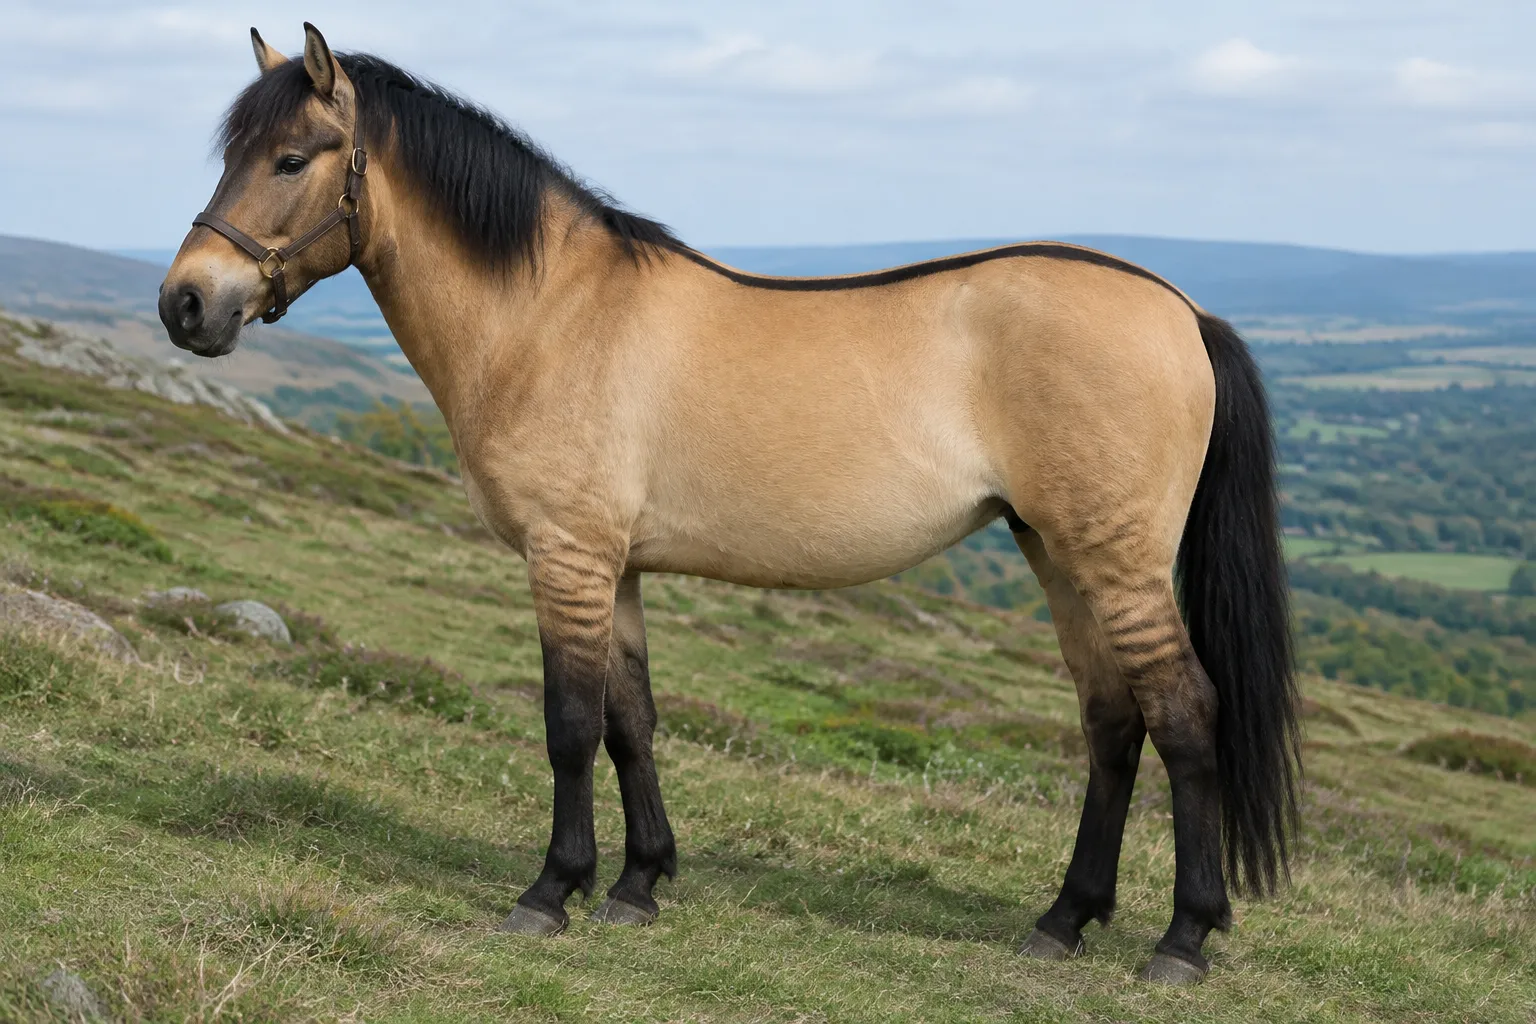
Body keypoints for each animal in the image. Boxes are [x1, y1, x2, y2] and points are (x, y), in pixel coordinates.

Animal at [159, 23, 1299, 985]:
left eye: (292, 158)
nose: (187, 304)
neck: (549, 313)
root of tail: (1183, 313)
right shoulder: (612, 566)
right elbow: (631, 721)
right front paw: (636, 883)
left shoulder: (564, 556)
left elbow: (569, 724)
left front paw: (550, 891)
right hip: (1057, 553)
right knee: (1112, 721)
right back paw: (1063, 920)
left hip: (1115, 561)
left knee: (1184, 716)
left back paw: (1183, 939)